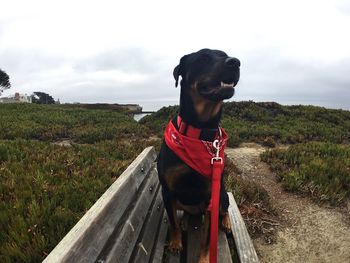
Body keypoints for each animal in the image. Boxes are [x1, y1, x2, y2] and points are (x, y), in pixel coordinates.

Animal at [157, 49, 239, 262]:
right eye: (203, 57)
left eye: (225, 54)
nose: (235, 62)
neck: (200, 131)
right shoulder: (167, 191)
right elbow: (173, 223)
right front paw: (176, 243)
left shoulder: (211, 195)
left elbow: (206, 238)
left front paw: (203, 258)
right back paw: (186, 219)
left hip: (222, 194)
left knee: (224, 209)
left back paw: (226, 223)